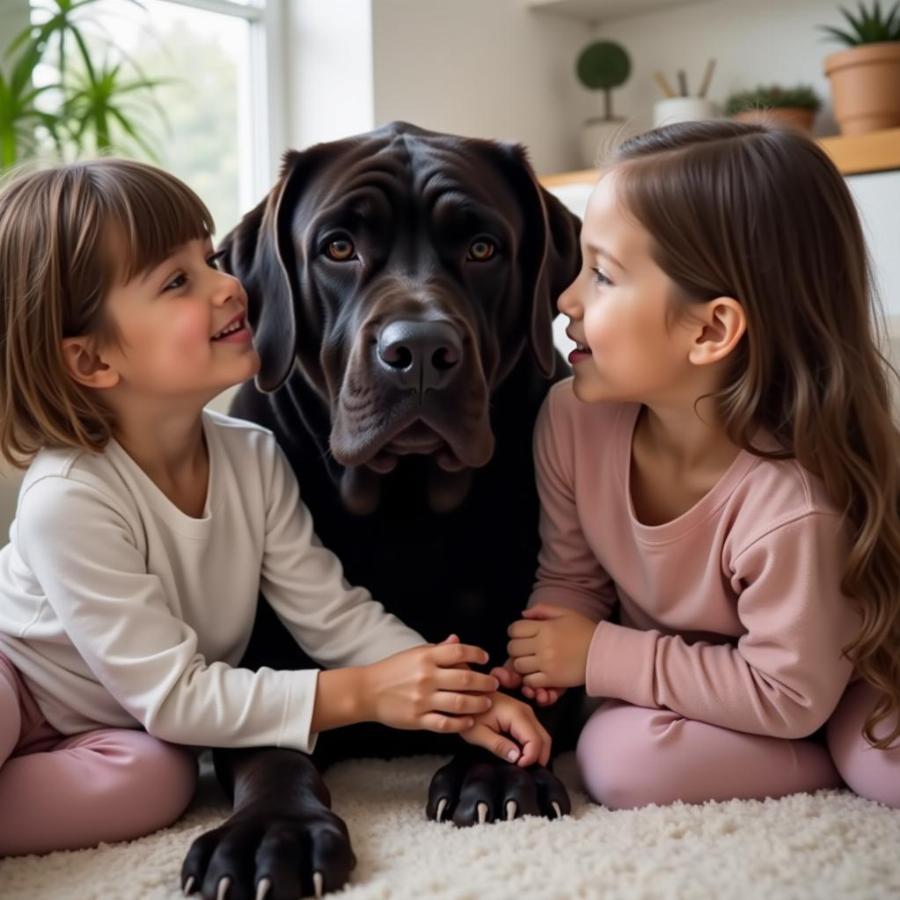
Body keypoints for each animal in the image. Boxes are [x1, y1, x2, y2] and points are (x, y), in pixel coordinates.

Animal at [181, 125, 584, 900]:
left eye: (482, 248)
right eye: (338, 247)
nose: (420, 350)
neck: (405, 503)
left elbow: (520, 686)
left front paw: (496, 772)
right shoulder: (263, 656)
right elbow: (272, 741)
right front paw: (269, 832)